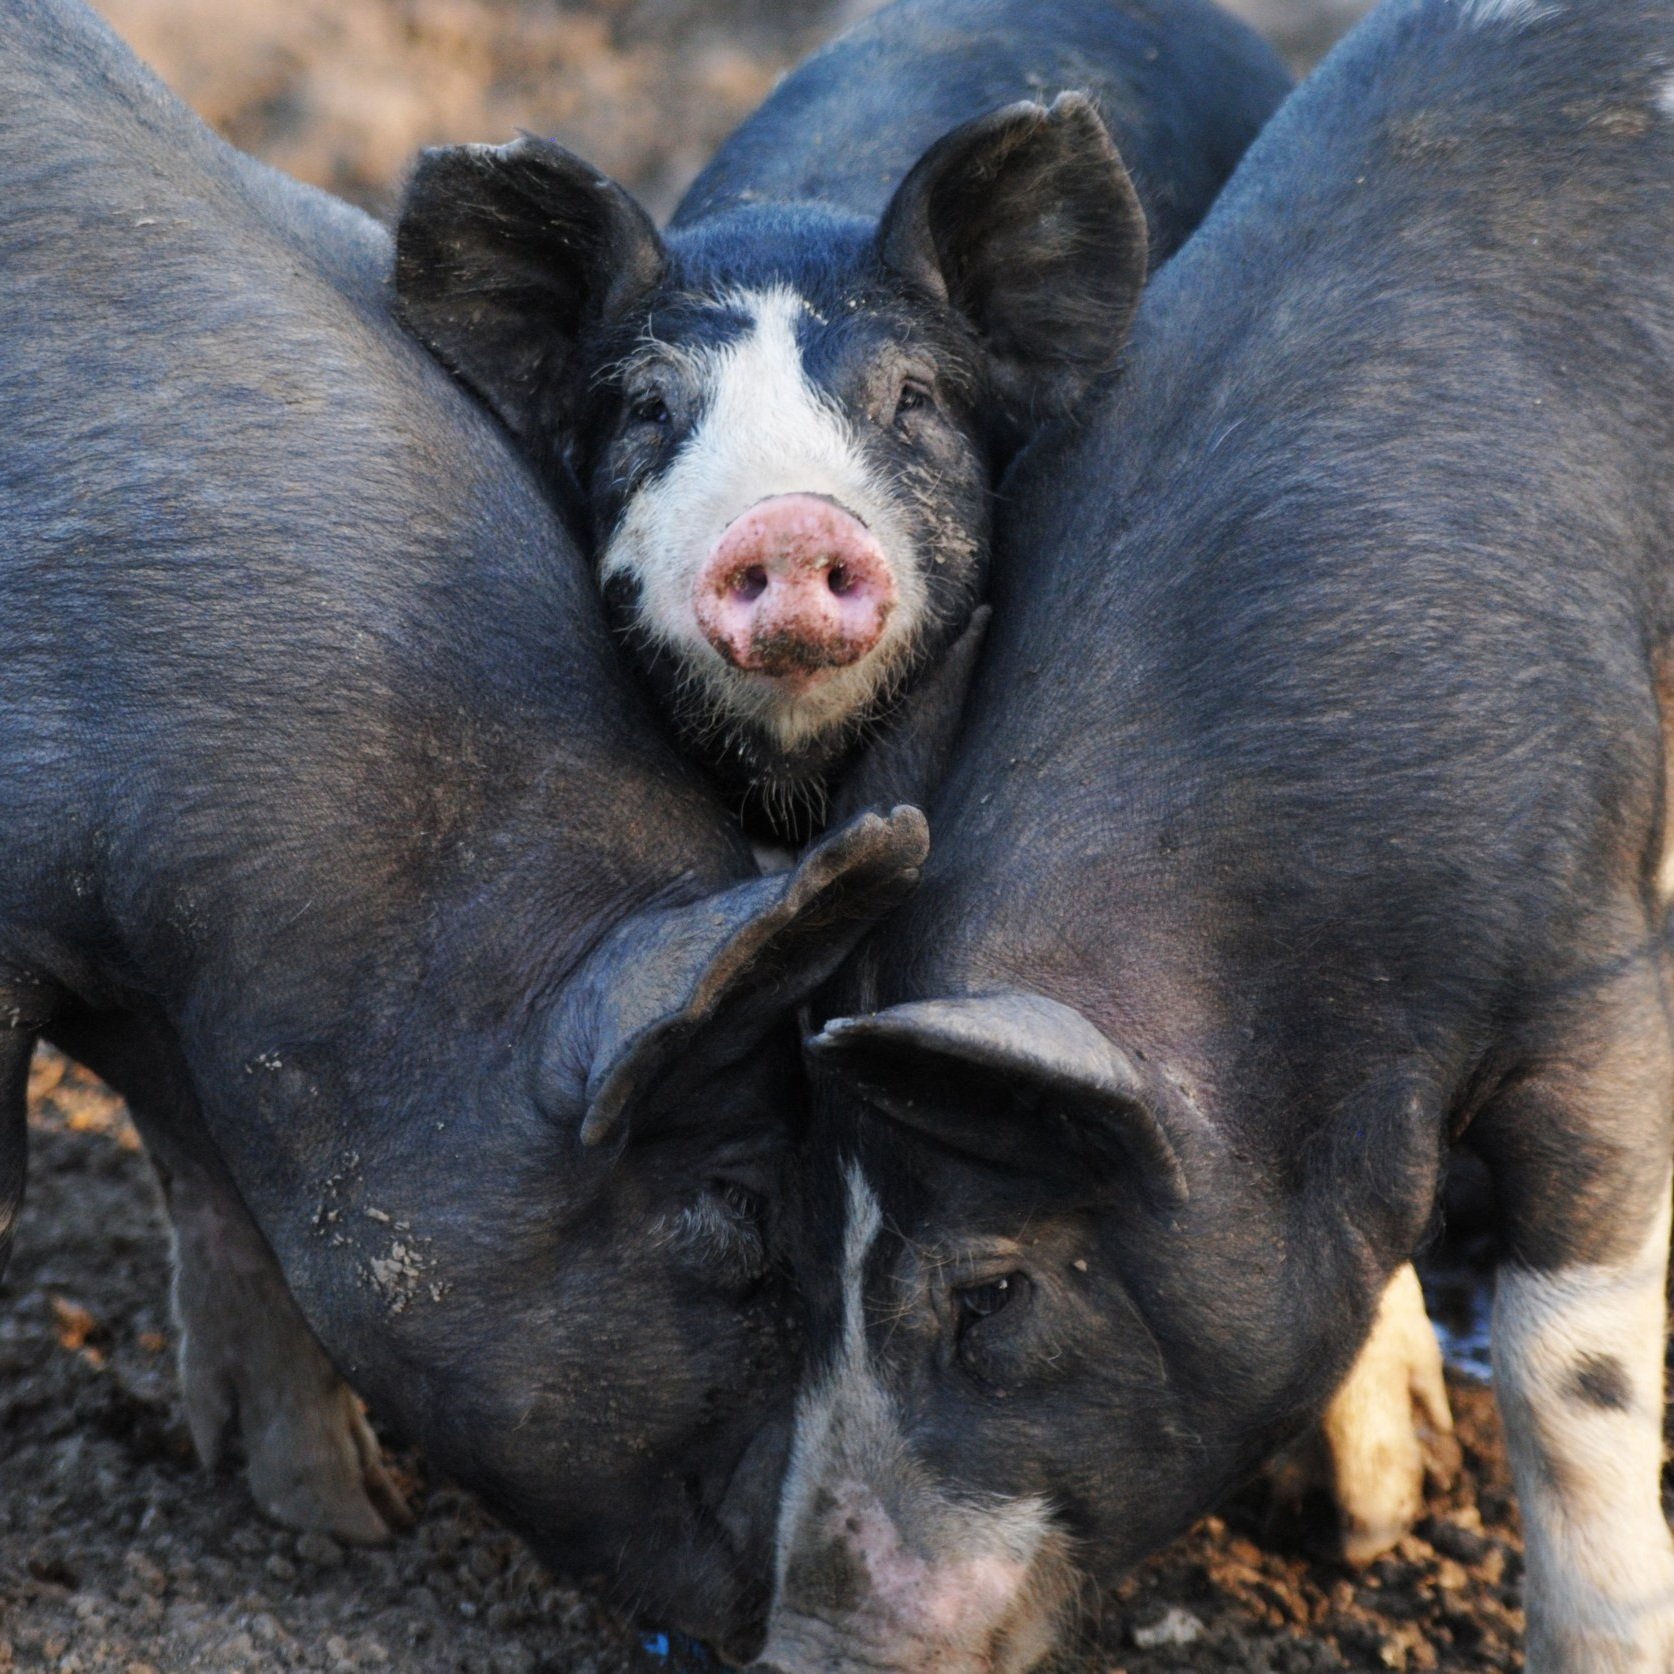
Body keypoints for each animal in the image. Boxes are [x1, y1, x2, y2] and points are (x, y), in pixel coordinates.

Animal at [764, 0, 1674, 1669]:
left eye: (989, 1291)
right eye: (798, 1275)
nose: (807, 1647)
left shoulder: (1591, 960)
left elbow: (1567, 1368)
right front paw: (1359, 1507)